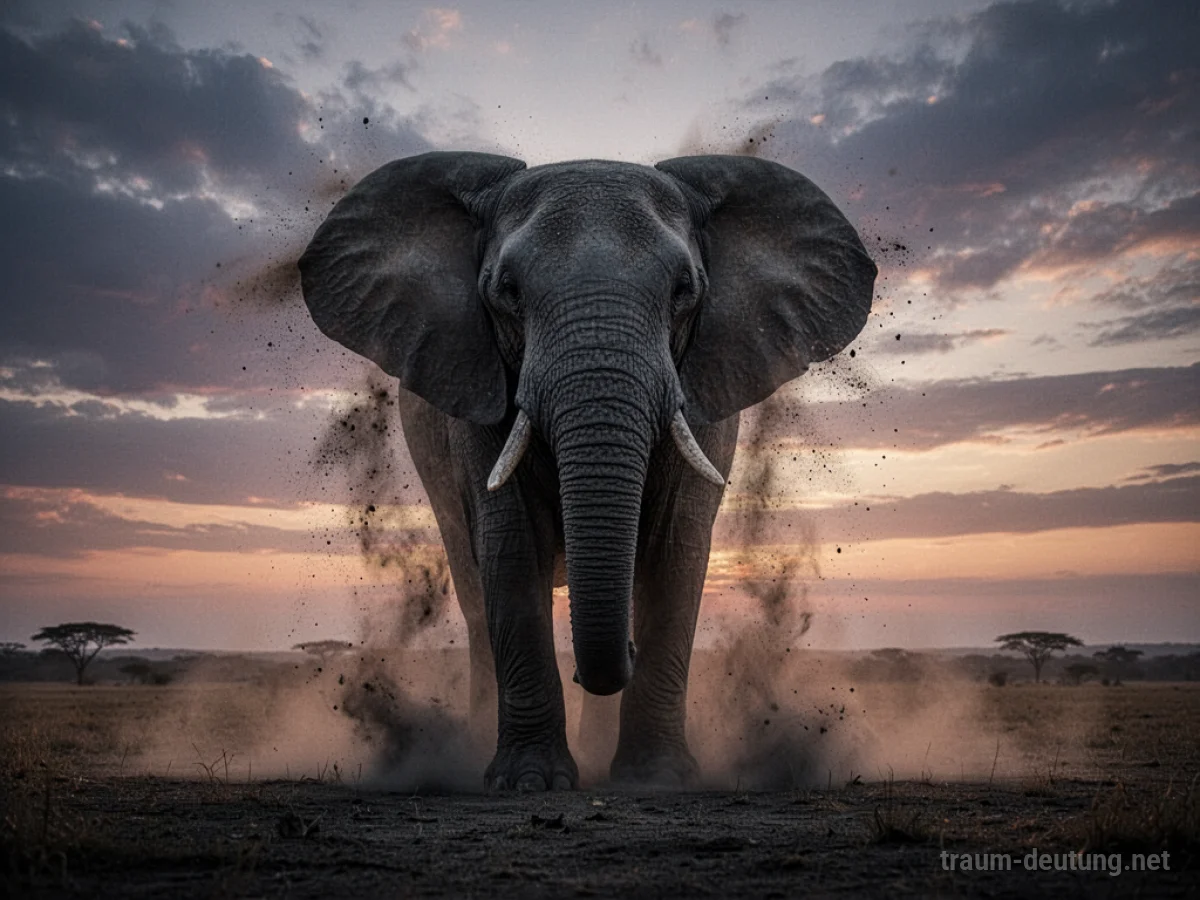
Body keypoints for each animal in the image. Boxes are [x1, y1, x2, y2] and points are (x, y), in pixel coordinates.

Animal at [298, 151, 875, 790]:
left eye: (685, 291)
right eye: (507, 292)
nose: (613, 657)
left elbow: (673, 550)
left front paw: (656, 779)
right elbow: (512, 550)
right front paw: (529, 782)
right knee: (475, 600)